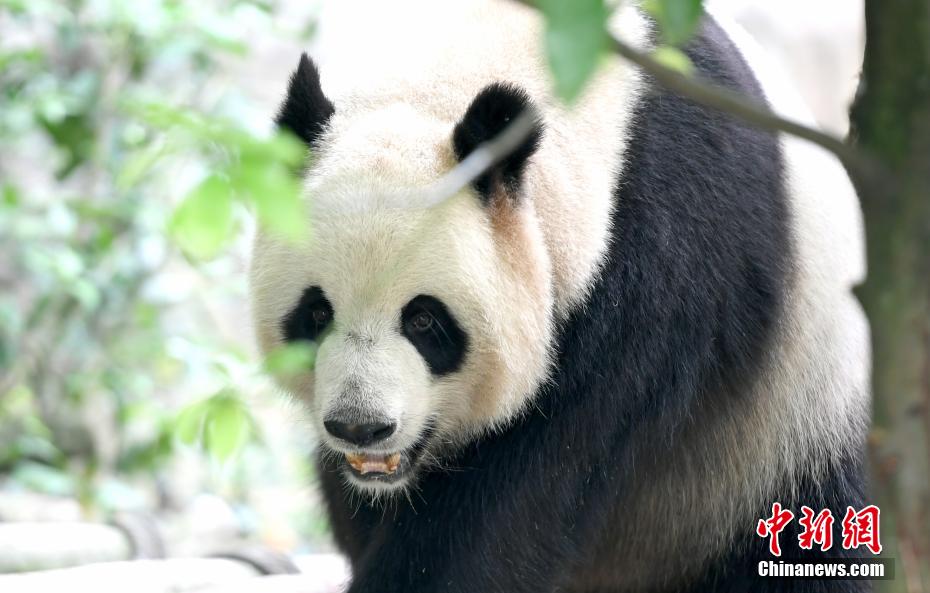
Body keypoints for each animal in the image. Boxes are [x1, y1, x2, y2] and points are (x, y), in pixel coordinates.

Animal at [248, 2, 872, 588]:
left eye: (424, 321)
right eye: (316, 312)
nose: (360, 427)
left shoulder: (662, 268)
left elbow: (522, 494)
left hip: (788, 434)